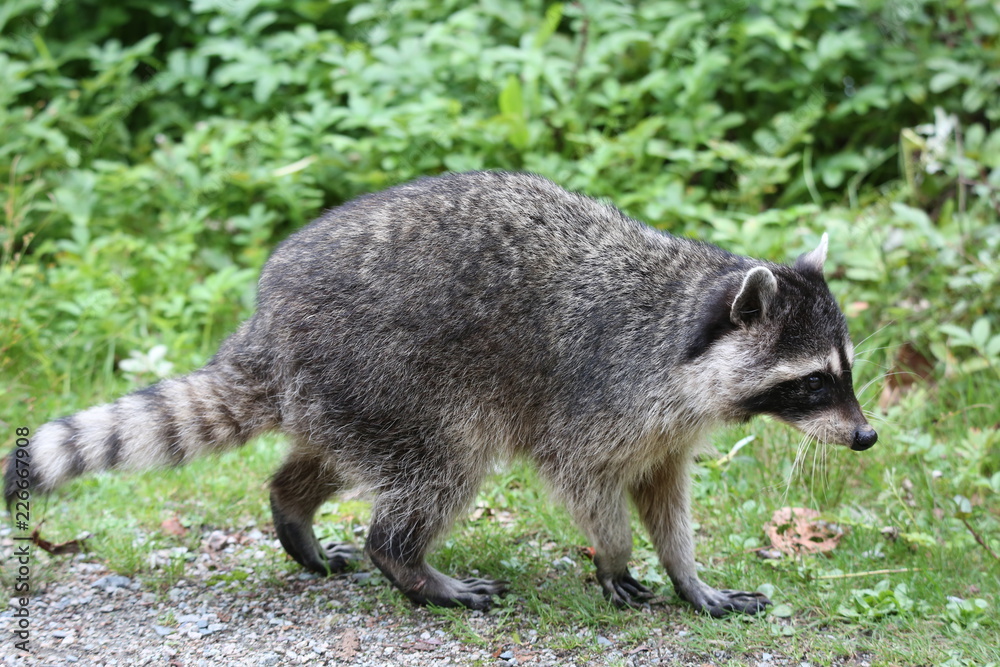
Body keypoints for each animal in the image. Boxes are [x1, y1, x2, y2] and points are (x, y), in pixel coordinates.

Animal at [4, 171, 876, 617]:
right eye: (813, 380)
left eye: (846, 371)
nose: (867, 438)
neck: (687, 323)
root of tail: (268, 322)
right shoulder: (604, 392)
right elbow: (584, 480)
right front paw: (615, 553)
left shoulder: (668, 431)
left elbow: (667, 498)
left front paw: (687, 574)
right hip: (393, 374)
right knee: (441, 469)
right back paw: (409, 564)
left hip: (347, 396)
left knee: (329, 459)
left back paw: (294, 506)